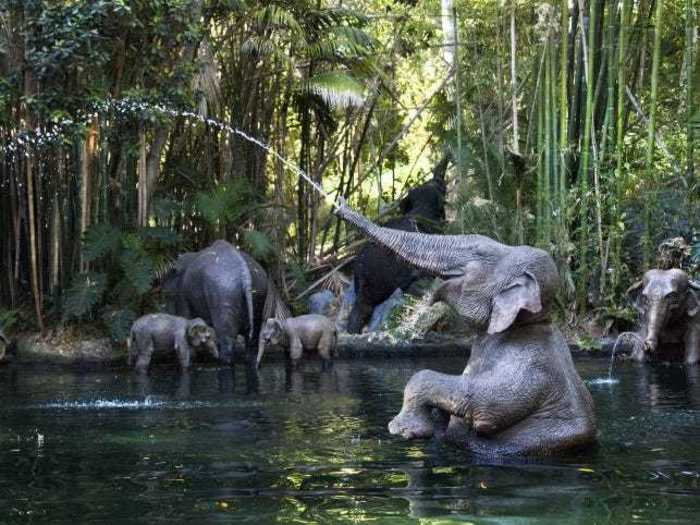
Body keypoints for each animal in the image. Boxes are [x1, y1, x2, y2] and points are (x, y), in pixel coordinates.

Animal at [334, 201, 596, 454]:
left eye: (478, 253)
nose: (340, 206)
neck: (531, 321)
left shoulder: (530, 366)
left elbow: (484, 407)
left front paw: (402, 429)